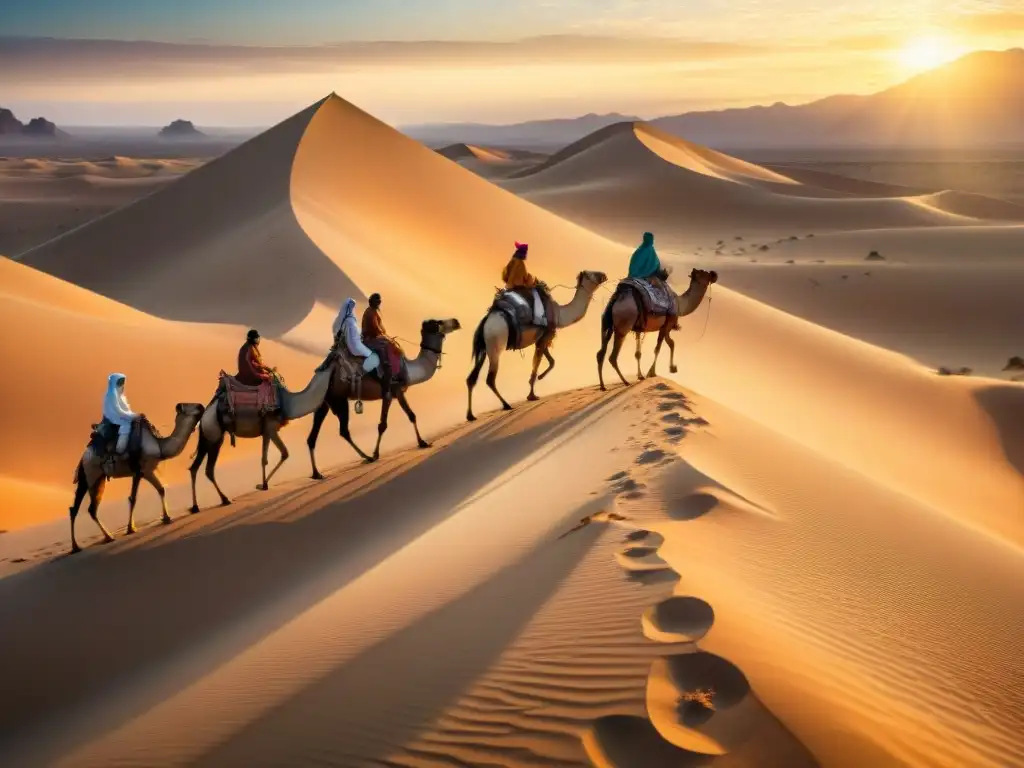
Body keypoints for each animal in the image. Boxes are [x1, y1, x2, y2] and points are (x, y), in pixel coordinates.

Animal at [69, 403, 203, 552]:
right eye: (191, 406)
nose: (201, 406)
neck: (158, 446)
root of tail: (83, 457)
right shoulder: (140, 471)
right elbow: (133, 498)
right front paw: (130, 528)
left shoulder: (146, 471)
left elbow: (161, 489)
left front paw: (167, 518)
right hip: (90, 475)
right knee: (82, 508)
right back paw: (88, 543)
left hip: (96, 479)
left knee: (85, 508)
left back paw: (95, 541)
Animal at [190, 366, 333, 512]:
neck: (288, 403)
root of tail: (205, 415)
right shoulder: (271, 428)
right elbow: (284, 453)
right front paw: (263, 484)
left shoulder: (266, 432)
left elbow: (264, 459)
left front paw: (263, 485)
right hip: (214, 436)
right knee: (208, 469)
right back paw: (224, 499)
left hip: (208, 437)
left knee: (195, 467)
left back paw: (197, 506)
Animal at [305, 317, 462, 475]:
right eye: (438, 322)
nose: (456, 321)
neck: (408, 368)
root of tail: (322, 373)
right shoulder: (388, 391)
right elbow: (382, 425)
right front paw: (375, 454)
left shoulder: (398, 392)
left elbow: (411, 415)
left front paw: (423, 442)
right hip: (339, 398)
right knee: (343, 431)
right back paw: (367, 457)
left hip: (326, 400)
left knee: (314, 434)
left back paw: (317, 473)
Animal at [468, 268, 606, 417]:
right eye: (592, 274)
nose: (604, 275)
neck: (559, 313)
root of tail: (485, 322)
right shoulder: (546, 336)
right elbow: (537, 365)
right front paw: (532, 395)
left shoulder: (542, 337)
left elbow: (551, 362)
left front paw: (539, 379)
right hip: (495, 343)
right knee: (490, 378)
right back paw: (506, 405)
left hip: (484, 347)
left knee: (472, 378)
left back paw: (470, 415)